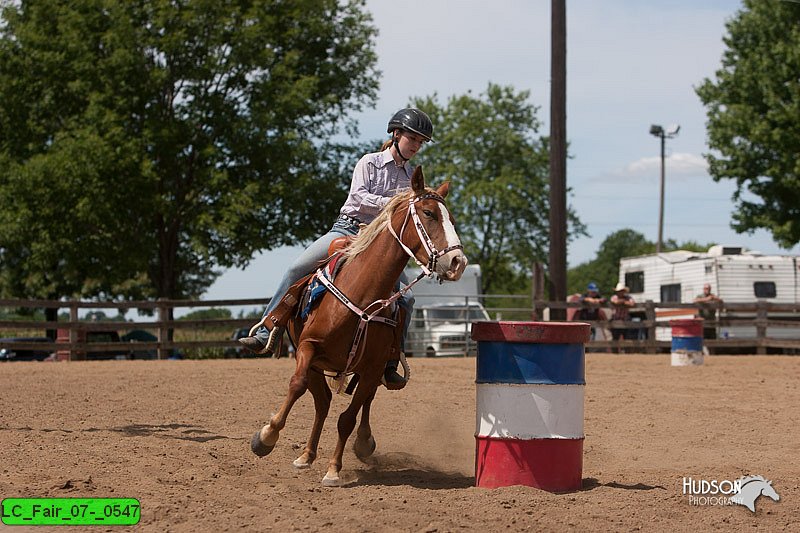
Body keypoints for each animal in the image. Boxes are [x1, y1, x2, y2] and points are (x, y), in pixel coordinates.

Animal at [250, 166, 468, 486]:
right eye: (429, 213)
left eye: (451, 217)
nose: (457, 262)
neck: (361, 294)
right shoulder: (307, 348)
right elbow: (297, 385)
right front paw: (266, 436)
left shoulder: (372, 367)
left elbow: (348, 417)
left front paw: (333, 469)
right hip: (315, 362)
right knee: (322, 402)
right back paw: (306, 455)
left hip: (372, 370)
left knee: (356, 402)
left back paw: (361, 443)